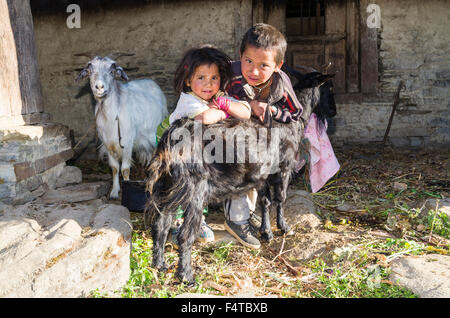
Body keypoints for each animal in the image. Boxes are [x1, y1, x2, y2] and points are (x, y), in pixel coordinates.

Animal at [76, 54, 168, 199]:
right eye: (90, 71)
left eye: (111, 71)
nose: (99, 87)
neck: (111, 115)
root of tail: (150, 81)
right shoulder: (107, 143)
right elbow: (114, 168)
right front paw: (114, 192)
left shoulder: (127, 142)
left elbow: (124, 169)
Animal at [146, 69, 336, 284]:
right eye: (330, 88)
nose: (333, 112)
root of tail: (170, 140)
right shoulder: (284, 167)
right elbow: (280, 198)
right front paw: (283, 227)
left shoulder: (263, 173)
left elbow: (265, 201)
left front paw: (266, 232)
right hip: (194, 191)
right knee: (185, 235)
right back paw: (186, 276)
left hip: (168, 187)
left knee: (160, 226)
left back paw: (159, 265)